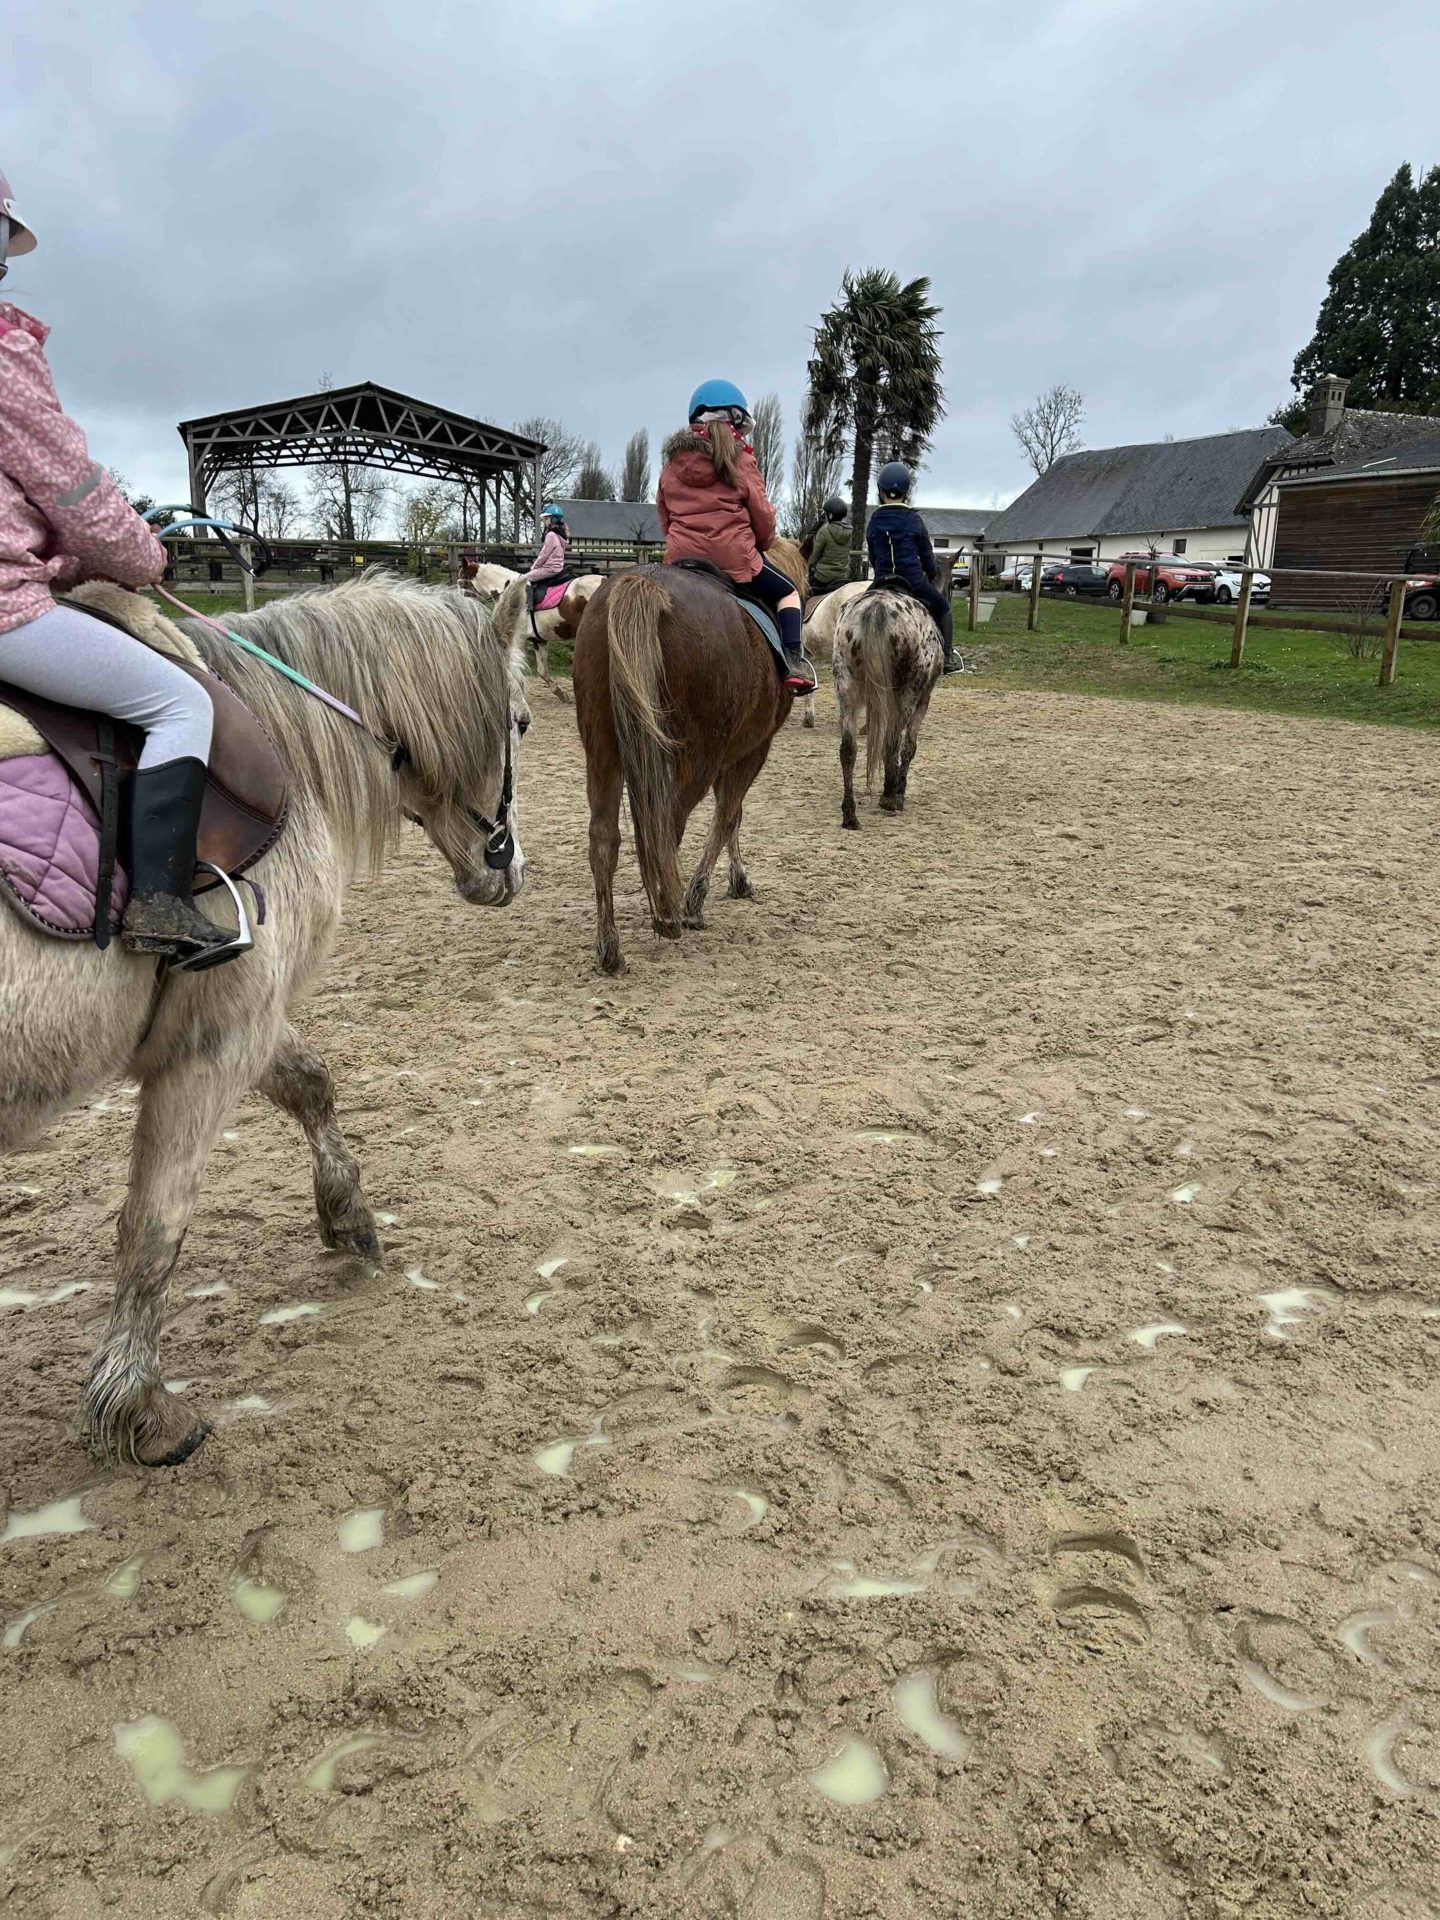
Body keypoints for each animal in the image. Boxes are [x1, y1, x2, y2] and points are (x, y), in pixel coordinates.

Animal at [0, 568, 529, 1466]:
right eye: (521, 721)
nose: (510, 871)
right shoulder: (216, 1039)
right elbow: (155, 1224)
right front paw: (141, 1405)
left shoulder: (238, 1015)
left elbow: (311, 1084)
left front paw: (349, 1218)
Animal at [572, 537, 814, 975]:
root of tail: (644, 582)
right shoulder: (752, 751)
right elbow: (728, 817)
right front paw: (700, 898)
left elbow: (733, 816)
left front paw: (736, 880)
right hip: (696, 755)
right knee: (668, 827)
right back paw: (669, 915)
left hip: (601, 752)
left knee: (603, 838)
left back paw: (610, 948)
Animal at [833, 579, 948, 829]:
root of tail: (876, 610)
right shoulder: (923, 700)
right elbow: (908, 747)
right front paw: (898, 789)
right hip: (908, 694)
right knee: (891, 742)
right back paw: (890, 796)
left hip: (846, 688)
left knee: (848, 749)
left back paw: (850, 814)